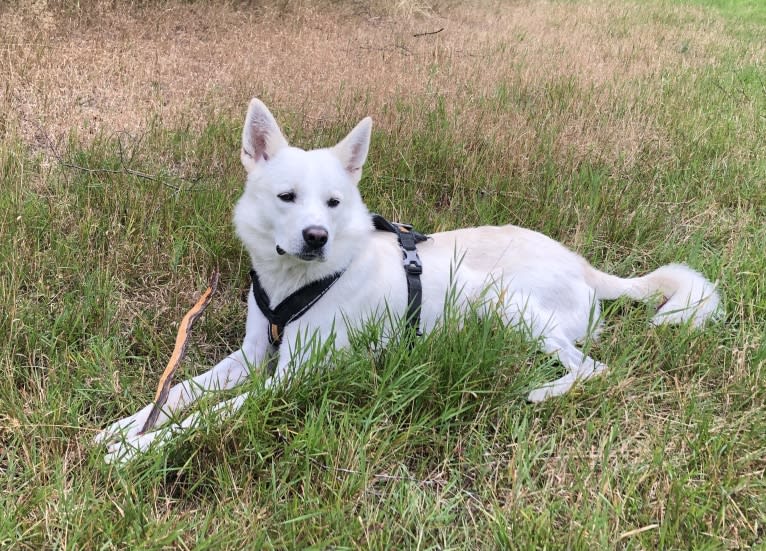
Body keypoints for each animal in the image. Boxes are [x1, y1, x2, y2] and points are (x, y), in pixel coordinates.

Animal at [93, 98, 724, 462]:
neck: (295, 283)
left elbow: (206, 414)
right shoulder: (250, 356)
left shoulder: (288, 379)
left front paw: (138, 450)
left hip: (508, 304)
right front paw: (123, 429)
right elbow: (180, 391)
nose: (316, 236)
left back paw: (542, 391)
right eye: (287, 197)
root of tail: (585, 265)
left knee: (591, 368)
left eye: (334, 202)